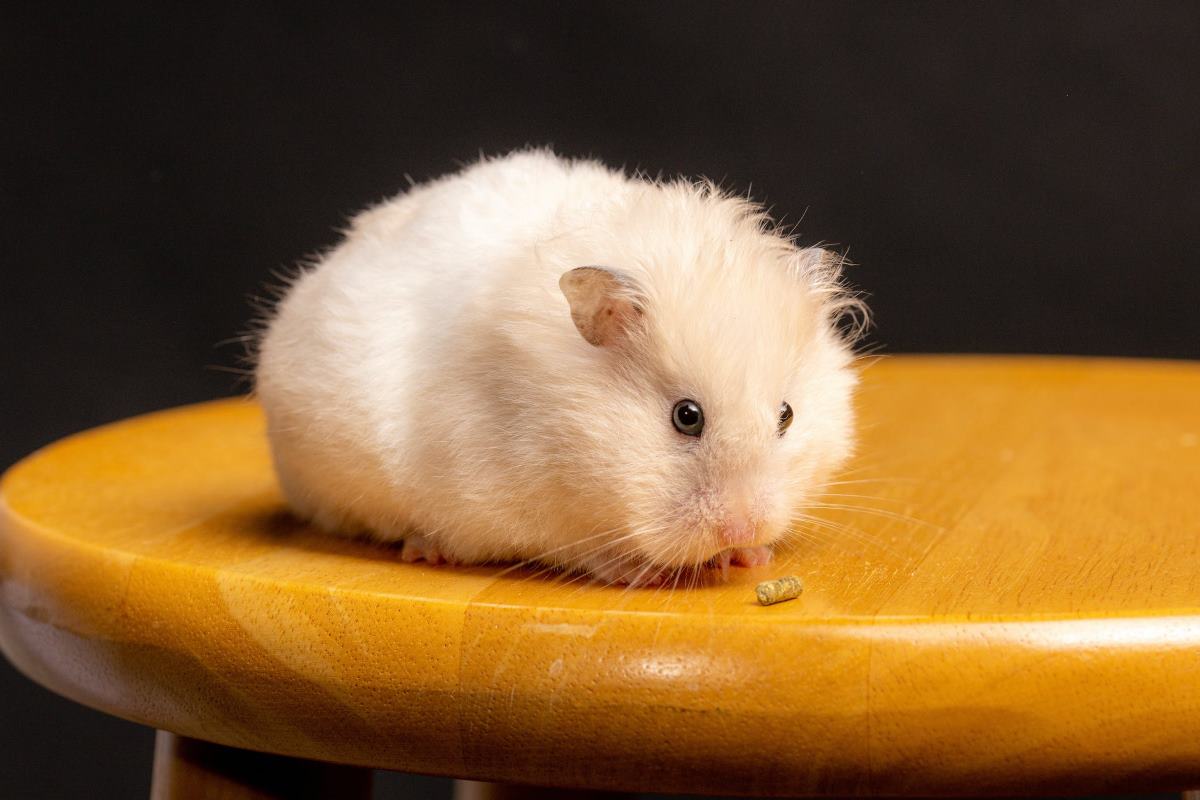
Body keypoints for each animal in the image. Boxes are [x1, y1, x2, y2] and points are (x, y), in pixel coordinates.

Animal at [255, 149, 864, 585]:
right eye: (686, 417)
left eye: (786, 415)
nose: (745, 525)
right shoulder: (526, 510)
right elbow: (586, 551)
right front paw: (645, 571)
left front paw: (750, 557)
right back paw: (424, 550)